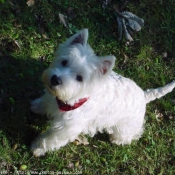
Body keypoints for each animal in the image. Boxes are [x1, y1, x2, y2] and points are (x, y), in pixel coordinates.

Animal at [30, 28, 175, 157]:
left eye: (79, 78)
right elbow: (43, 102)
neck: (75, 100)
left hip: (126, 127)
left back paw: (117, 140)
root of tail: (144, 95)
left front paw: (37, 148)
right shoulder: (52, 99)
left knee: (128, 135)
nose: (55, 79)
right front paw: (36, 106)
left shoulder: (67, 127)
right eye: (64, 62)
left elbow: (50, 139)